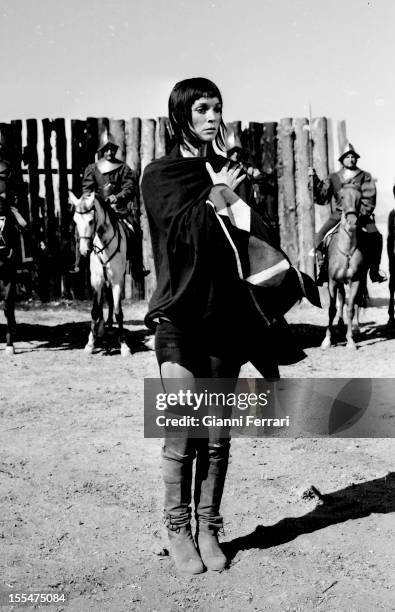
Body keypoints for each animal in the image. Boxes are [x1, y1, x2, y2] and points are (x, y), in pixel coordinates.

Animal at [69, 190, 131, 354]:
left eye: (91, 221)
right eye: (75, 221)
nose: (84, 250)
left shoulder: (117, 281)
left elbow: (118, 311)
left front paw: (124, 345)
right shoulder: (97, 281)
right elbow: (95, 311)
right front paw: (90, 343)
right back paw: (103, 328)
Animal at [322, 183, 368, 350]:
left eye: (360, 198)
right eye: (341, 196)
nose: (352, 222)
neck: (347, 250)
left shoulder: (355, 281)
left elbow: (350, 308)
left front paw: (350, 341)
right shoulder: (332, 281)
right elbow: (332, 309)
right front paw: (327, 340)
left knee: (355, 302)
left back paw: (355, 327)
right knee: (340, 300)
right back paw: (340, 326)